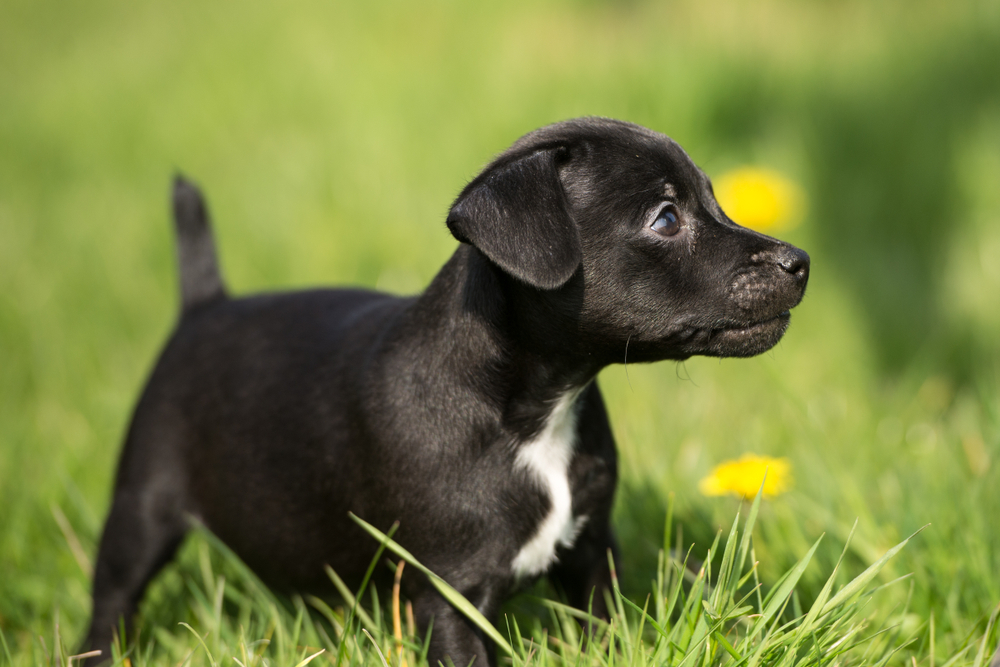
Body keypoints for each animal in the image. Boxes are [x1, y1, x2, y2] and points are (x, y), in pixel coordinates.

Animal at [82, 117, 808, 664]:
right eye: (665, 219)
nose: (799, 261)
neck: (535, 412)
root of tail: (205, 305)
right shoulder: (450, 597)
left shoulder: (591, 554)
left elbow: (605, 631)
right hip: (142, 506)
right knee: (111, 600)